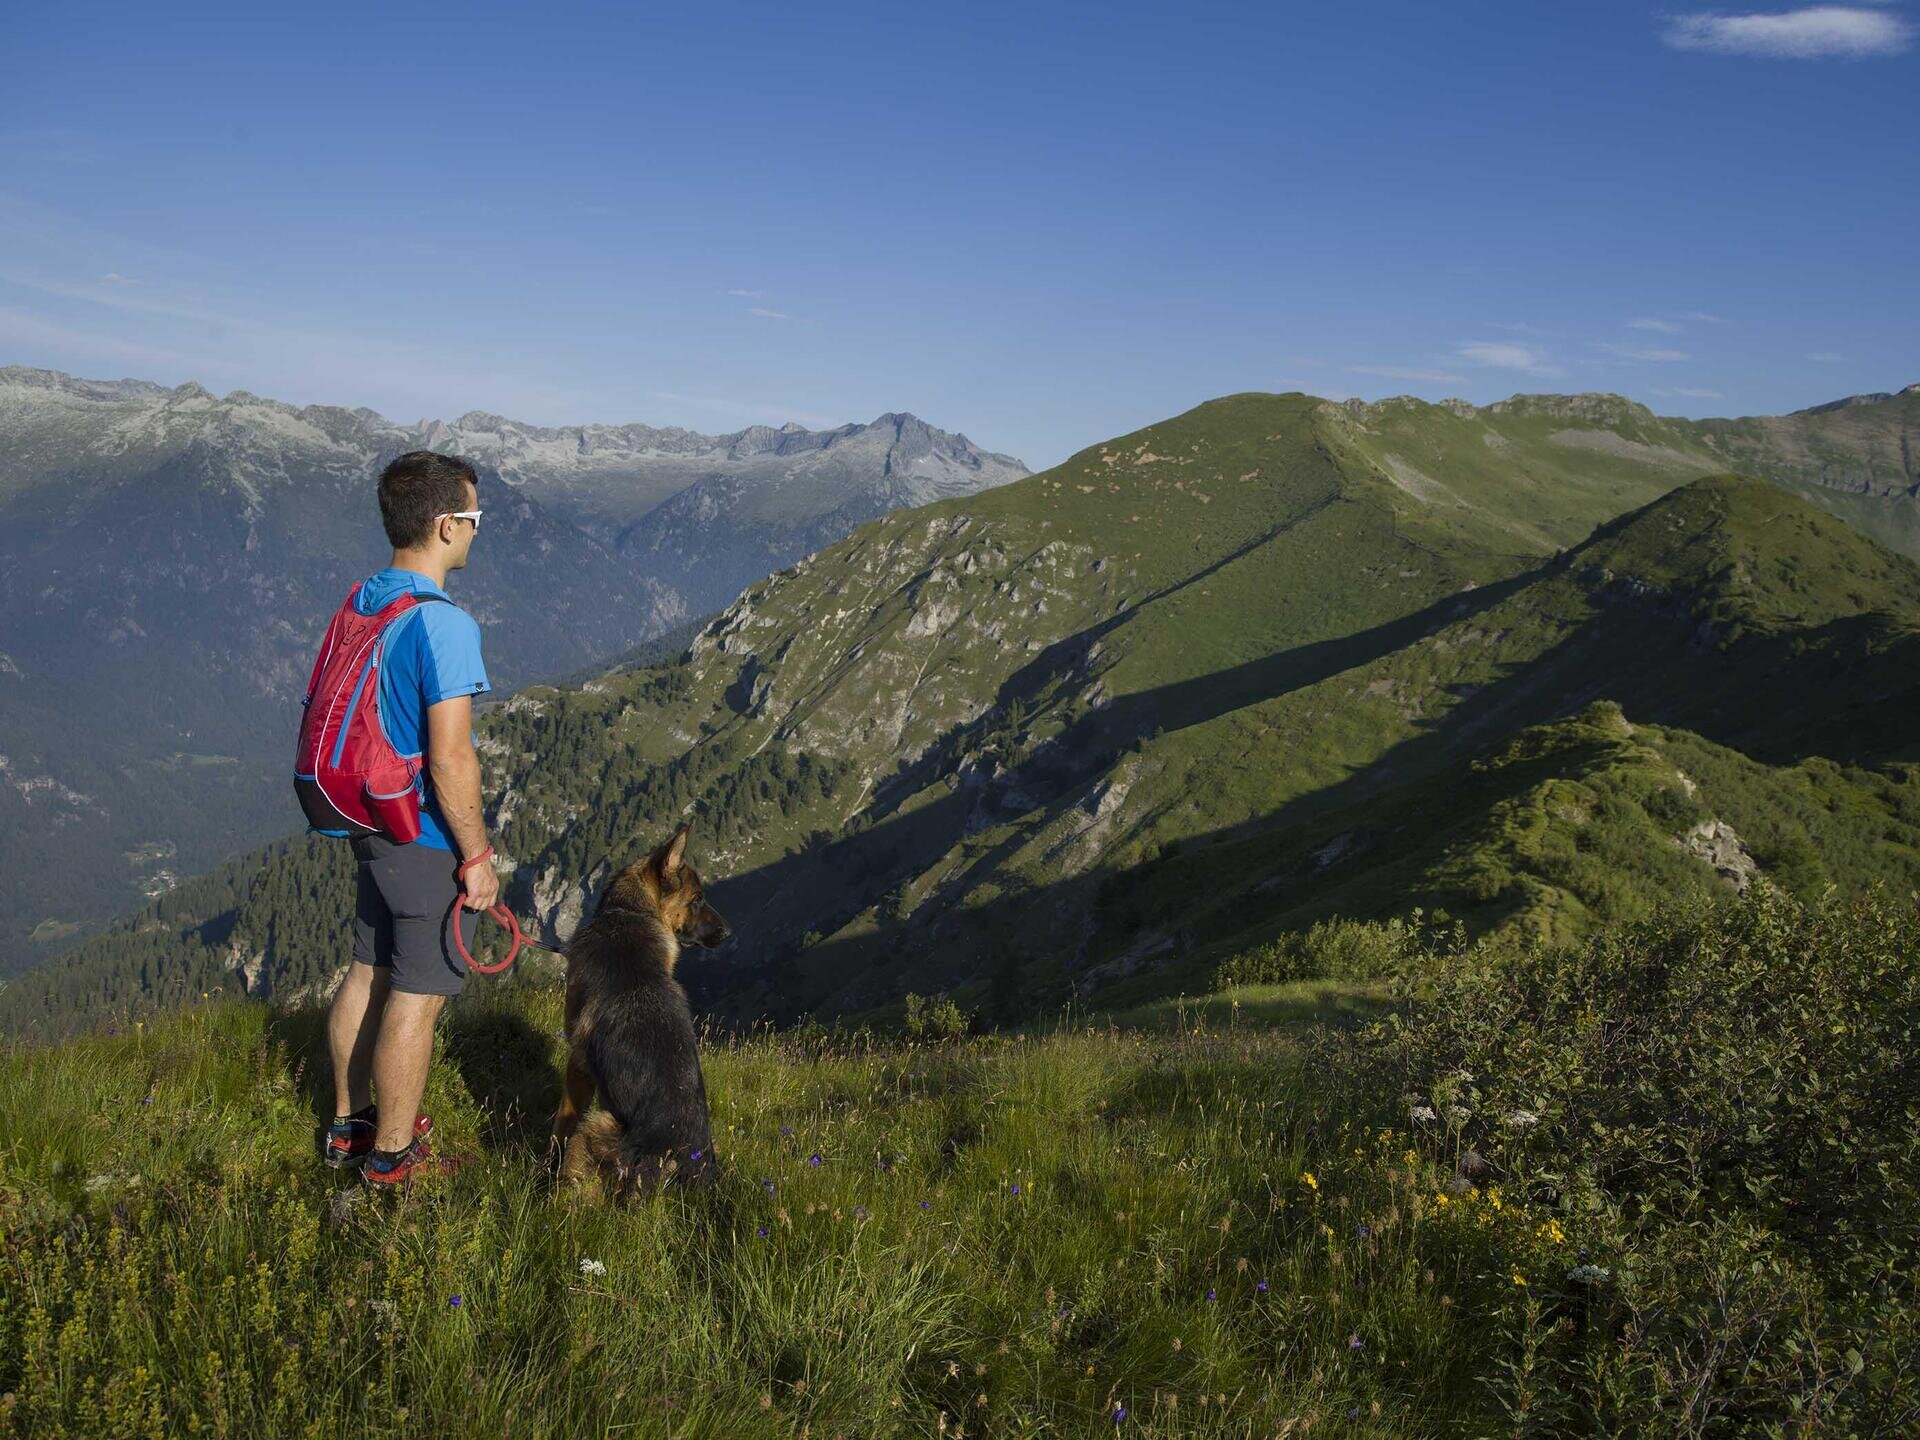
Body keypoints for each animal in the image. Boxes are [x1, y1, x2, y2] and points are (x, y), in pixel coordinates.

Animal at [560, 821, 737, 1198]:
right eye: (697, 898)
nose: (730, 933)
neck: (630, 913)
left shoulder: (577, 1066)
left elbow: (559, 1125)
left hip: (597, 1124)